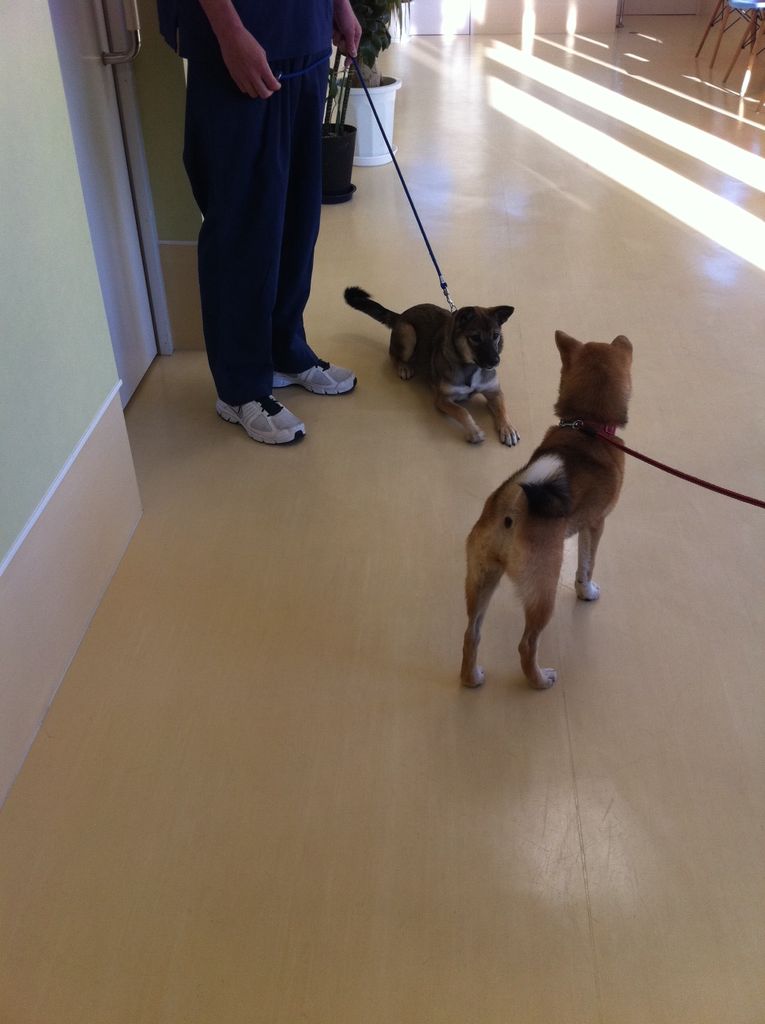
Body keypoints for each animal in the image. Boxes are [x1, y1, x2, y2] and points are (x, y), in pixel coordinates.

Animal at [344, 286, 519, 446]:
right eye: (475, 337)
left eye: (495, 335)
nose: (495, 361)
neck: (471, 366)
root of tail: (401, 315)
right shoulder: (442, 400)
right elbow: (462, 411)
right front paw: (474, 431)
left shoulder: (494, 392)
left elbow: (502, 408)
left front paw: (508, 428)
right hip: (408, 334)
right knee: (393, 355)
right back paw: (404, 367)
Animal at [461, 329, 633, 690]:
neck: (588, 427)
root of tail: (512, 507)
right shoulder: (596, 524)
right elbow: (585, 567)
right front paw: (587, 592)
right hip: (544, 589)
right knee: (526, 645)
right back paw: (541, 680)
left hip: (481, 578)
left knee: (472, 634)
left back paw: (472, 678)